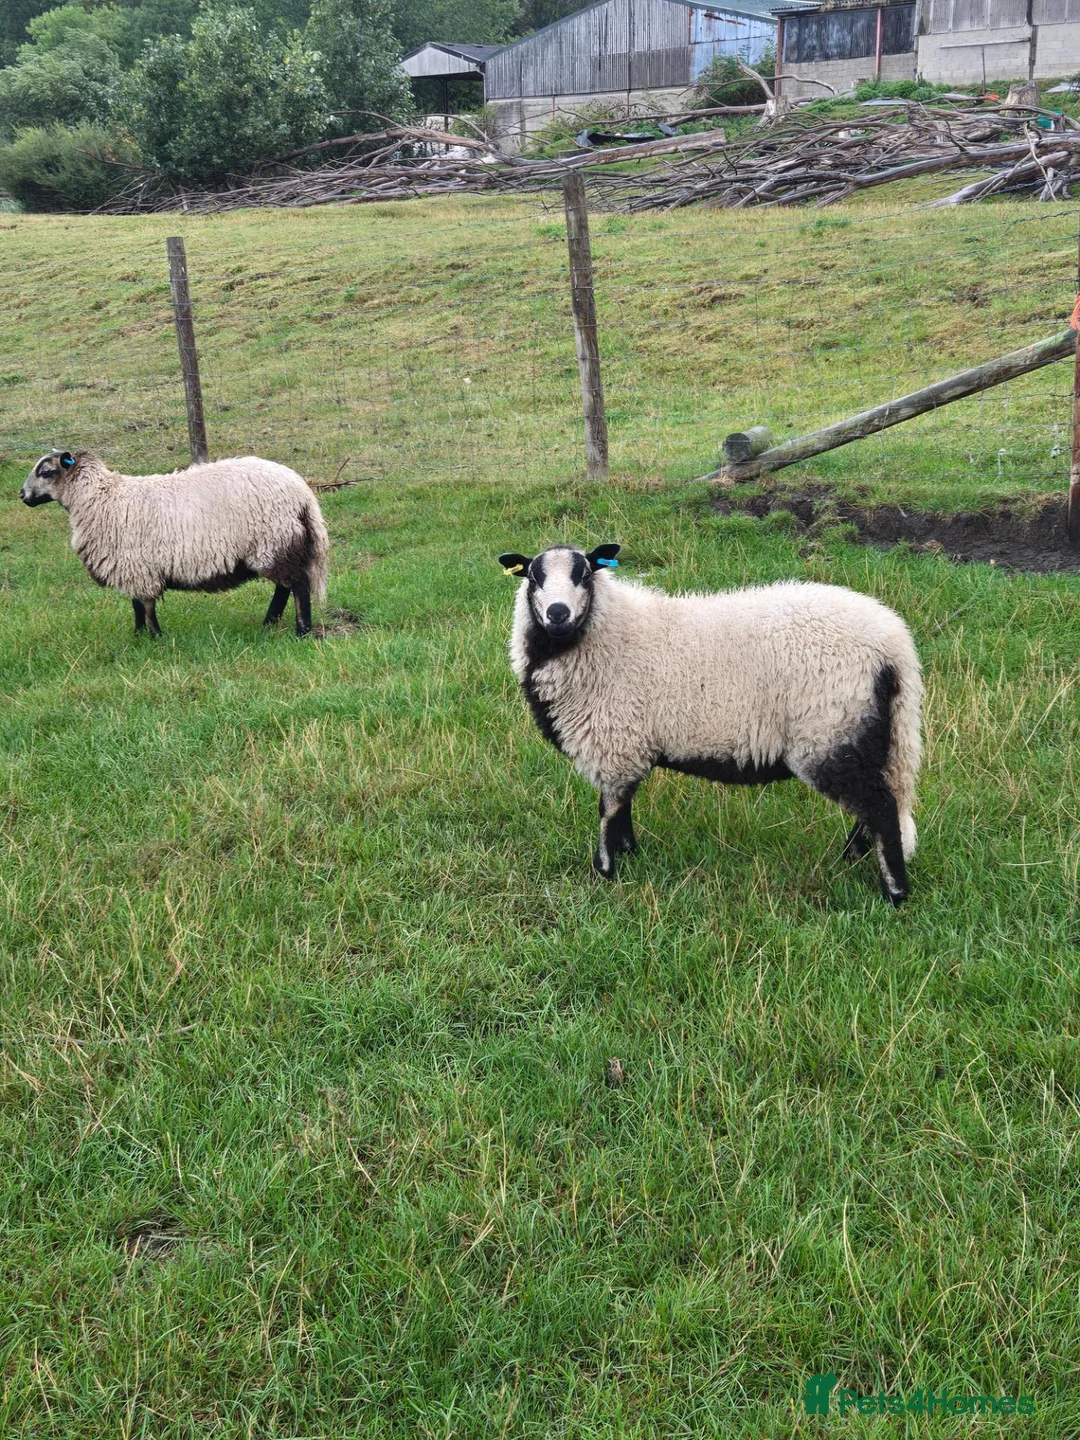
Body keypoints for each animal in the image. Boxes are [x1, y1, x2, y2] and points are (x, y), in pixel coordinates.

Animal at [20, 450, 329, 637]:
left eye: (45, 472)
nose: (22, 495)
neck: (99, 497)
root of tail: (301, 492)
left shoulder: (138, 567)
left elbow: (145, 604)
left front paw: (155, 637)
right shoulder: (133, 567)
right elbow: (136, 604)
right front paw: (138, 636)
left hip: (274, 540)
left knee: (297, 585)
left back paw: (302, 631)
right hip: (278, 543)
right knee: (284, 586)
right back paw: (270, 622)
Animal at [498, 543, 922, 904]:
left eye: (583, 575)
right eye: (533, 576)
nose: (557, 613)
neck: (607, 634)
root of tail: (894, 646)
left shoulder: (614, 743)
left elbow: (608, 809)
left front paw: (604, 871)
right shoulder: (627, 745)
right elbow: (623, 806)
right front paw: (630, 854)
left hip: (830, 732)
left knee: (881, 808)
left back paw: (894, 894)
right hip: (870, 735)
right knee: (876, 802)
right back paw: (850, 858)